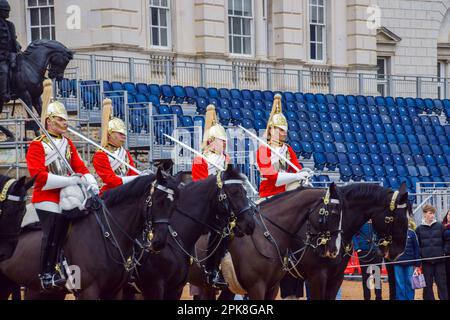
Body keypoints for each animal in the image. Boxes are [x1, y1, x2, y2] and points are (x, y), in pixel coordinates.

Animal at [0, 169, 183, 298]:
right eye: (158, 200)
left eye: (174, 205)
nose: (159, 242)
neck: (108, 233)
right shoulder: (88, 291)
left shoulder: (114, 291)